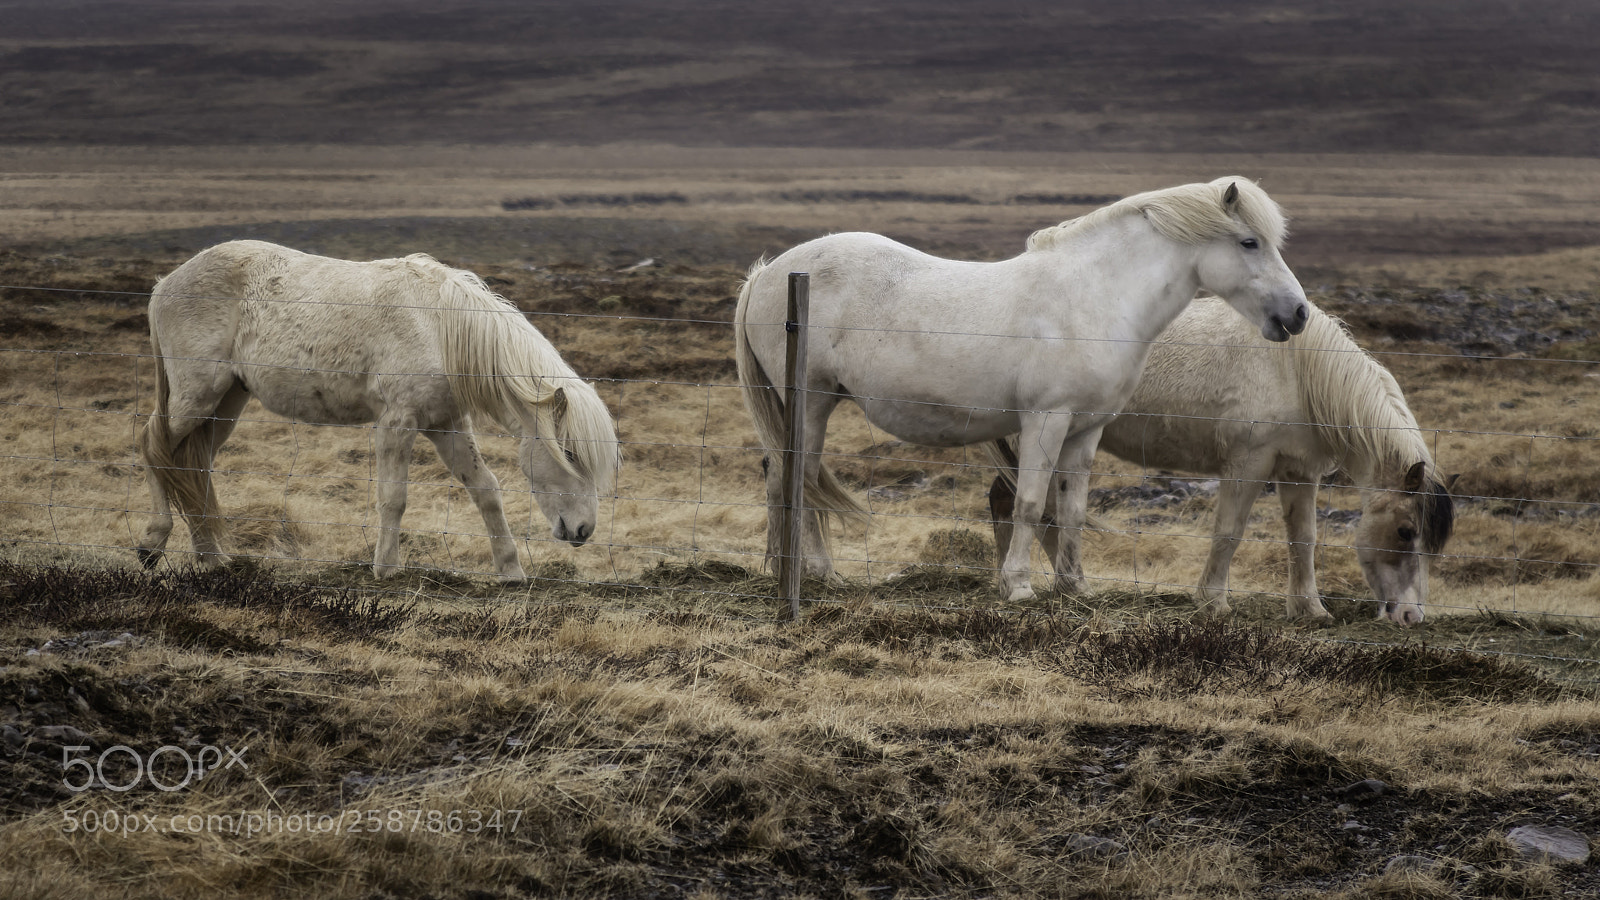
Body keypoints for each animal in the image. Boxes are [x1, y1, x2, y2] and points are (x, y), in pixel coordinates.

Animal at [135, 240, 621, 580]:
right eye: (570, 454)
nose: (584, 531)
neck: (439, 327)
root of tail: (164, 285)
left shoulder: (446, 424)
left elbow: (485, 489)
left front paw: (511, 570)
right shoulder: (397, 424)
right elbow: (393, 498)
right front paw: (386, 568)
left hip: (226, 404)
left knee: (192, 464)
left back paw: (211, 557)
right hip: (196, 397)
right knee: (154, 448)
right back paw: (153, 544)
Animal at [735, 177, 1310, 602]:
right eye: (1249, 242)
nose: (1299, 314)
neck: (1093, 298)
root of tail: (769, 273)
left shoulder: (1085, 431)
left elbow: (1071, 508)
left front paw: (1075, 587)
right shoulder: (1045, 421)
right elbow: (1030, 503)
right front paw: (1019, 587)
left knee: (786, 475)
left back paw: (785, 569)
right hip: (811, 401)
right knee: (799, 475)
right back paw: (818, 571)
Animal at [986, 296, 1456, 626]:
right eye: (1405, 531)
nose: (1412, 616)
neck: (1296, 371)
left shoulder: (1298, 472)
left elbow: (1302, 540)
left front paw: (1310, 608)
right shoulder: (1248, 464)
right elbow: (1229, 533)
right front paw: (1213, 601)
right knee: (1027, 506)